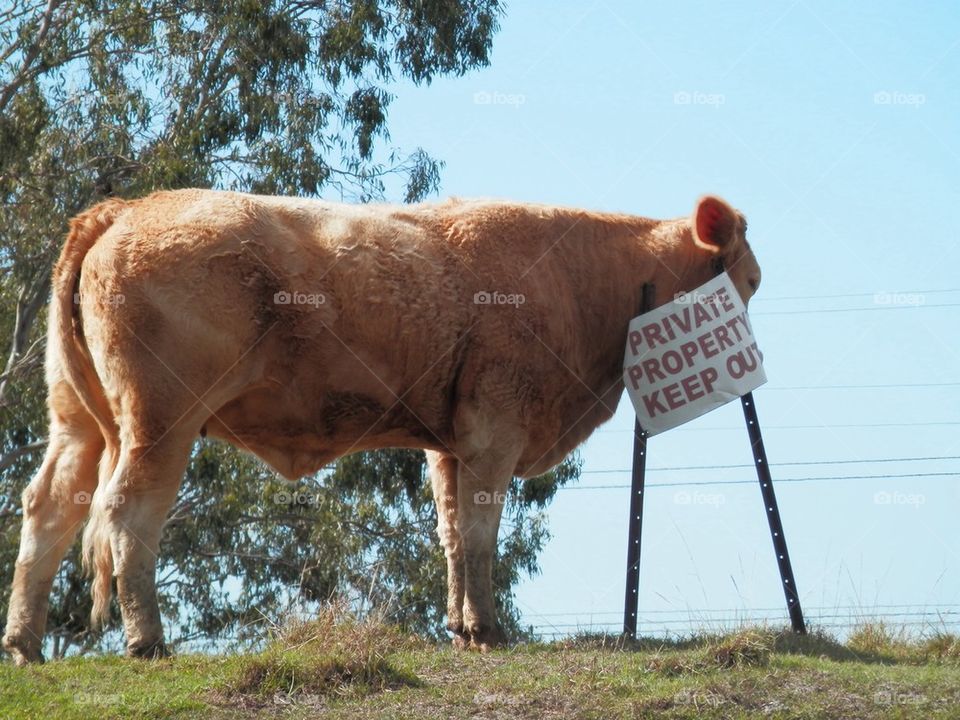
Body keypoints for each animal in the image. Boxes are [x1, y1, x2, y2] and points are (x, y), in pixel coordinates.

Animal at [2, 190, 760, 664]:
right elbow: (479, 530)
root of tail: (128, 207)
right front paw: (487, 628)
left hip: (77, 423)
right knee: (128, 513)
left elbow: (452, 531)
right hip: (161, 419)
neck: (582, 282)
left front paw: (460, 627)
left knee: (49, 509)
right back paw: (147, 641)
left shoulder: (450, 443)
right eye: (746, 280)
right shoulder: (495, 428)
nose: (750, 356)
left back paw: (24, 643)